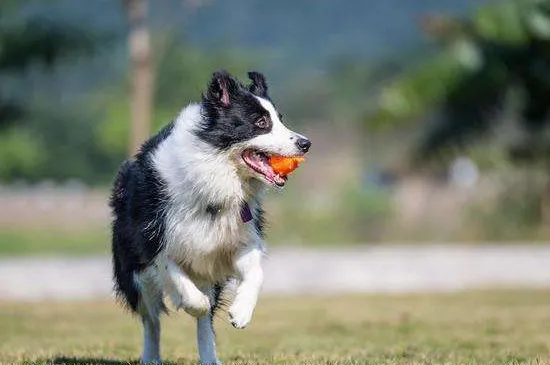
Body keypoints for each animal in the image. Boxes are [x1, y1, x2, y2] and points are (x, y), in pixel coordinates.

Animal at [110, 69, 312, 362]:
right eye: (261, 122)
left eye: (280, 120)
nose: (306, 143)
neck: (217, 174)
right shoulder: (155, 242)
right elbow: (178, 278)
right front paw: (193, 303)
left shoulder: (238, 238)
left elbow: (256, 274)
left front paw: (241, 312)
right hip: (134, 272)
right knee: (152, 319)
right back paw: (151, 356)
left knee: (202, 323)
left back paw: (209, 358)